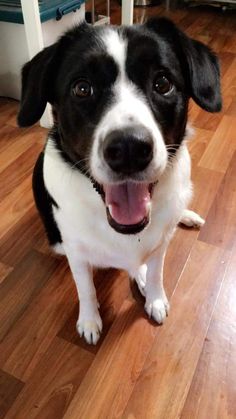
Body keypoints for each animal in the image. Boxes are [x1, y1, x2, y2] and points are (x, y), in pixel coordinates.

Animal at [18, 18, 221, 344]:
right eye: (82, 88)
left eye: (162, 83)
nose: (129, 149)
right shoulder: (75, 251)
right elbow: (86, 289)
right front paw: (89, 321)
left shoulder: (161, 243)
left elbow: (156, 272)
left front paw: (154, 297)